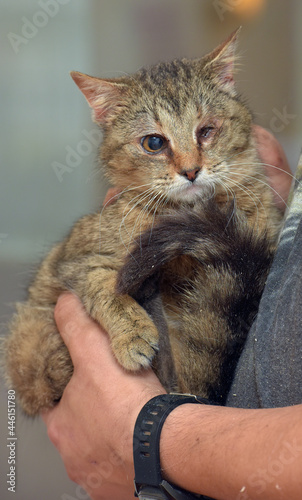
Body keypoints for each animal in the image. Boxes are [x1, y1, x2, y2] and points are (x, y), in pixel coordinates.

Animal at [2, 29, 282, 416]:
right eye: (153, 143)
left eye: (206, 131)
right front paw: (132, 332)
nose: (191, 171)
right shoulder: (74, 261)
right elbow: (106, 285)